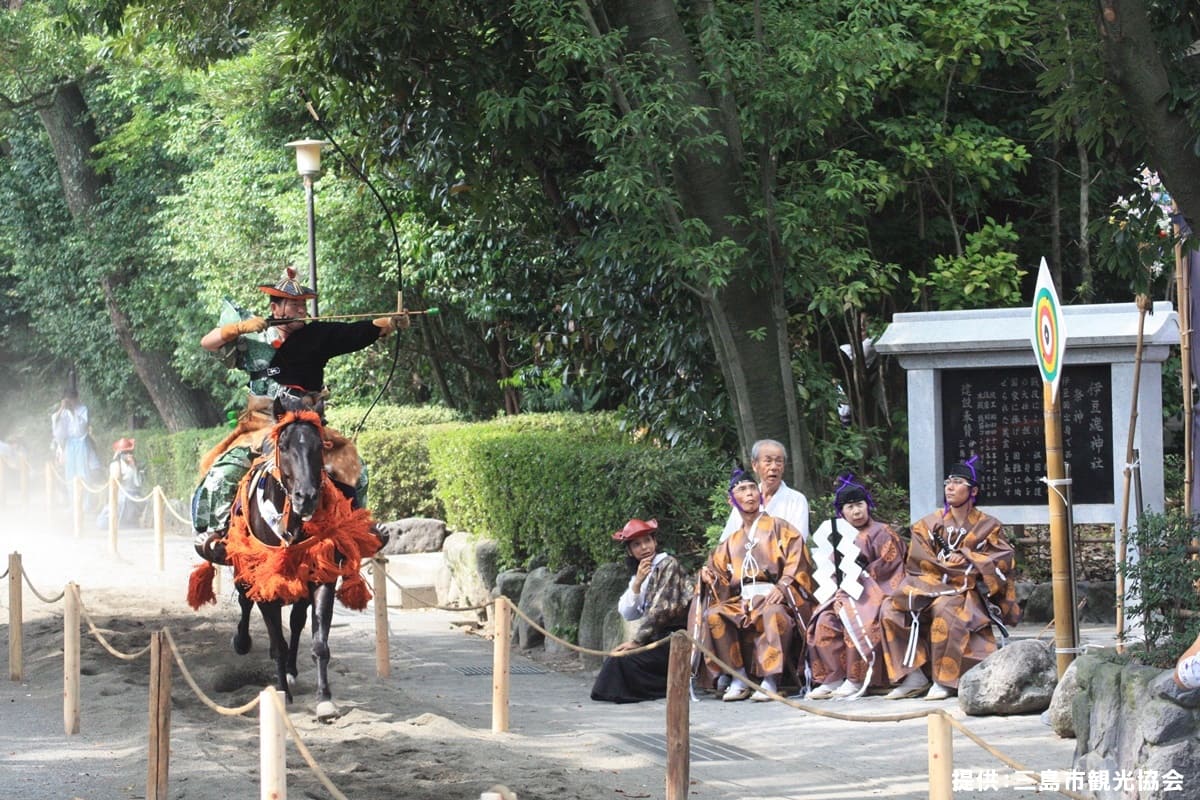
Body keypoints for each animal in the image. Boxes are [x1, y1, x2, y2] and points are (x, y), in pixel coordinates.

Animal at [187, 398, 384, 724]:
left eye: (320, 445)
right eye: (284, 445)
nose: (306, 497)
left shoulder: (321, 576)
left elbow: (318, 642)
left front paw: (324, 700)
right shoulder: (265, 579)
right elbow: (276, 639)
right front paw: (281, 693)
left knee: (295, 620)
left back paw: (291, 671)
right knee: (245, 601)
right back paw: (243, 643)